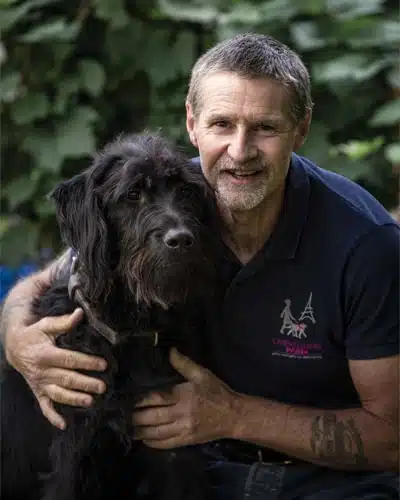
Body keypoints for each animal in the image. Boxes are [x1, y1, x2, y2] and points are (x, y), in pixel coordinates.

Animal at [0, 133, 225, 500]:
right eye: (132, 194)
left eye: (186, 191)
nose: (181, 239)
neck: (130, 325)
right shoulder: (74, 452)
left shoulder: (173, 450)